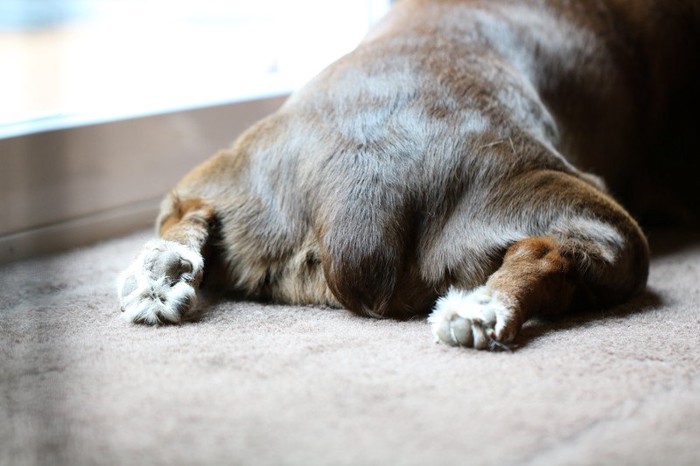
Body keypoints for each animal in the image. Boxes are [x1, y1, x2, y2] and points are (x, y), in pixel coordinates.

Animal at [116, 0, 700, 350]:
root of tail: (353, 206)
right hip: (586, 210)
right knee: (556, 252)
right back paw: (483, 313)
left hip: (233, 177)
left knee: (185, 211)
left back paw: (161, 276)